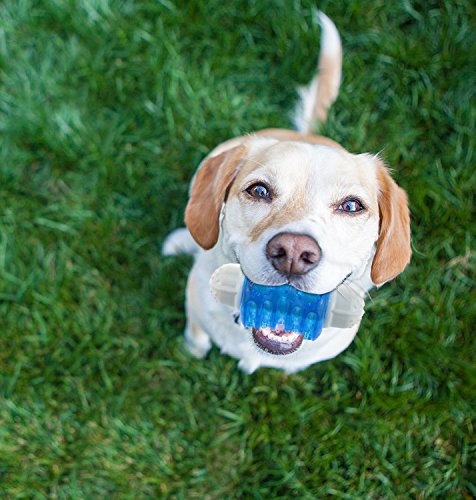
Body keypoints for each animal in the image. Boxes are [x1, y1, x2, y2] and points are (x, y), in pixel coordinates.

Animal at [163, 11, 410, 374]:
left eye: (352, 206)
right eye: (258, 190)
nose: (293, 252)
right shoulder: (195, 311)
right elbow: (196, 338)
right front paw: (191, 352)